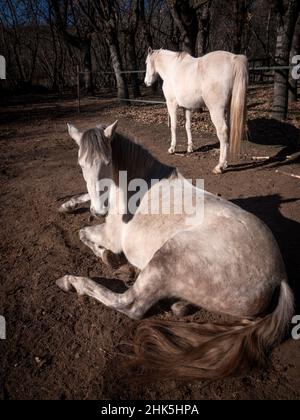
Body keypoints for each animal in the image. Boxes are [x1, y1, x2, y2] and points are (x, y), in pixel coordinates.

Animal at [57, 120, 294, 382]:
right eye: (81, 165)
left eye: (107, 162)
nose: (99, 211)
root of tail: (279, 277)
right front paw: (67, 205)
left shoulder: (110, 235)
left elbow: (83, 233)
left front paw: (107, 257)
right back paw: (175, 302)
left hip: (166, 258)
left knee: (129, 304)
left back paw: (73, 282)